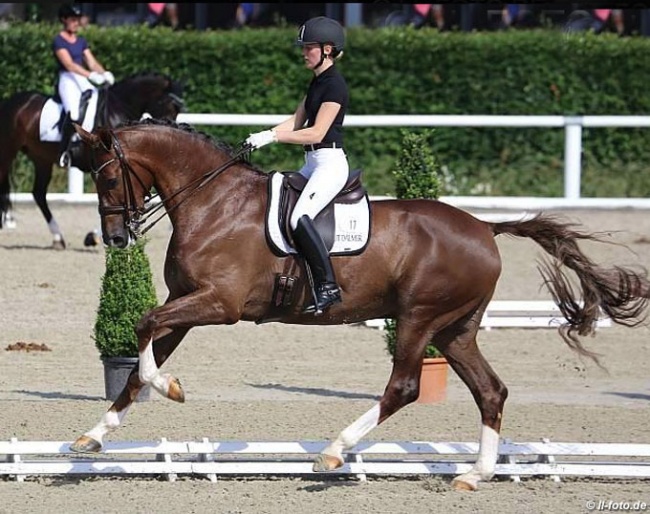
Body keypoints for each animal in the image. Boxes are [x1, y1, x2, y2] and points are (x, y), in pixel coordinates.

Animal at [0, 71, 182, 248]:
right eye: (169, 106)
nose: (171, 133)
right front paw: (95, 237)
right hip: (8, 151)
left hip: (41, 159)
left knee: (38, 193)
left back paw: (57, 237)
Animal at [69, 118, 648, 490]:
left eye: (108, 175)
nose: (116, 240)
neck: (213, 202)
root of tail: (485, 227)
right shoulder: (186, 302)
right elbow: (140, 358)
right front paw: (93, 437)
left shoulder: (219, 304)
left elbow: (144, 326)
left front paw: (172, 388)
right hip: (454, 329)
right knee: (490, 390)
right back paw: (474, 474)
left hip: (419, 318)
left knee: (405, 387)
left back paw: (333, 451)